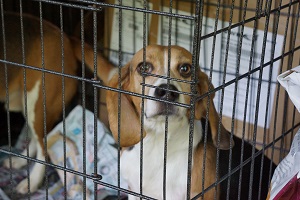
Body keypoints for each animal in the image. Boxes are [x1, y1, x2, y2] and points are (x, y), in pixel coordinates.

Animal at [0, 12, 78, 194]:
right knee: (38, 139)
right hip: (29, 104)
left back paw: (32, 181)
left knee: (43, 145)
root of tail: (66, 40)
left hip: (39, 102)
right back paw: (20, 161)